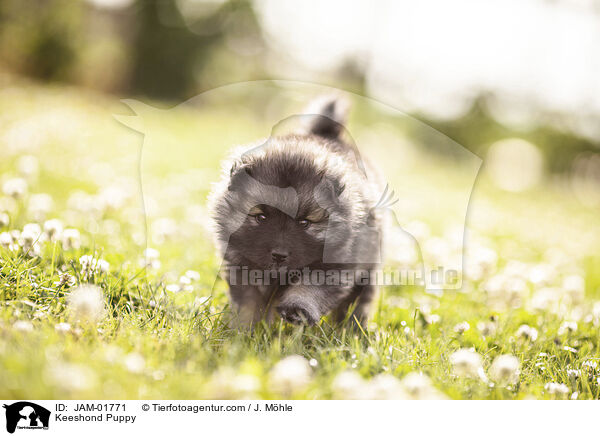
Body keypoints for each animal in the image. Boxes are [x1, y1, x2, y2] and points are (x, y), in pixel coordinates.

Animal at [209, 96, 386, 328]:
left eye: (304, 222)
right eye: (261, 217)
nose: (279, 255)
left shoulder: (334, 265)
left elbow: (310, 288)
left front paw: (297, 310)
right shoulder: (243, 264)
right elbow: (250, 302)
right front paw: (245, 329)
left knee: (359, 302)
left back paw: (352, 329)